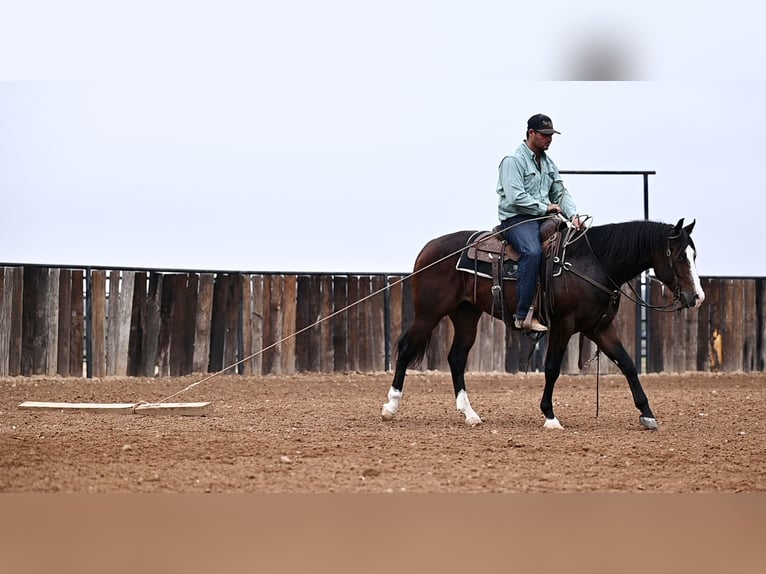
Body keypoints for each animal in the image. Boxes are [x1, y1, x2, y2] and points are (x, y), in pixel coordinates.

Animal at [381, 217, 705, 430]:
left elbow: (627, 364)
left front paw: (647, 414)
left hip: (466, 314)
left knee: (457, 358)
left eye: (694, 254)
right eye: (679, 256)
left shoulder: (599, 328)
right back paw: (390, 406)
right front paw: (550, 416)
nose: (697, 297)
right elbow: (551, 368)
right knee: (407, 348)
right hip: (429, 313)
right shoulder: (564, 326)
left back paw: (470, 414)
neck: (593, 263)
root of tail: (430, 248)